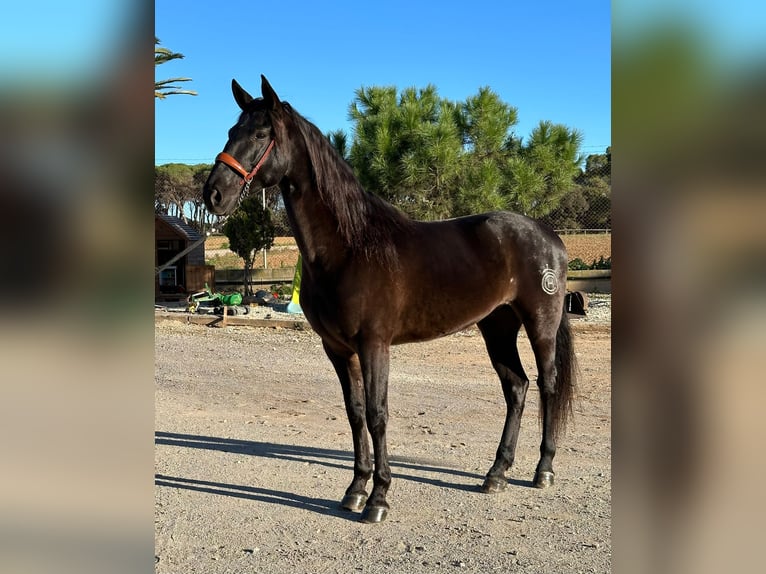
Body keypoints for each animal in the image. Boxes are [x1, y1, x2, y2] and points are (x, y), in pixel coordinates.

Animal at [202, 77, 576, 528]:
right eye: (230, 132)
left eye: (260, 135)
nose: (213, 194)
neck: (350, 246)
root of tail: (548, 234)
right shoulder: (337, 348)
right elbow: (355, 412)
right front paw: (355, 490)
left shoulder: (374, 344)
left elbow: (377, 414)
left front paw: (379, 498)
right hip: (497, 326)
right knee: (516, 387)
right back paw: (496, 473)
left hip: (540, 323)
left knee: (547, 385)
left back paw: (543, 470)